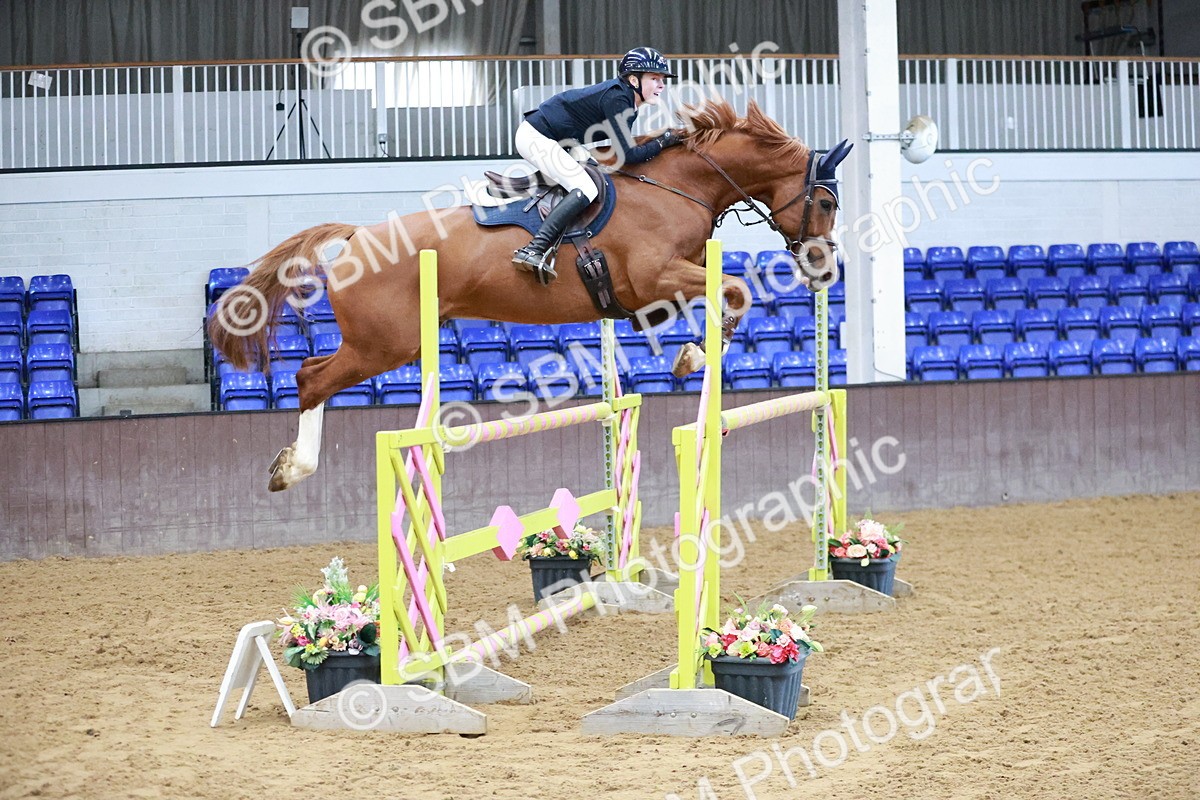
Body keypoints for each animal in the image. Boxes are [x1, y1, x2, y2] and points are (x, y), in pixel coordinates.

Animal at [208, 99, 851, 492]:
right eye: (824, 201)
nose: (823, 269)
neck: (675, 185)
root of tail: (359, 236)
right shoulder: (655, 278)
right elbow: (736, 288)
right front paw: (695, 356)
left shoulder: (660, 289)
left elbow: (724, 293)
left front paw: (692, 353)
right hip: (383, 345)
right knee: (310, 377)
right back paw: (293, 469)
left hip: (382, 344)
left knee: (312, 374)